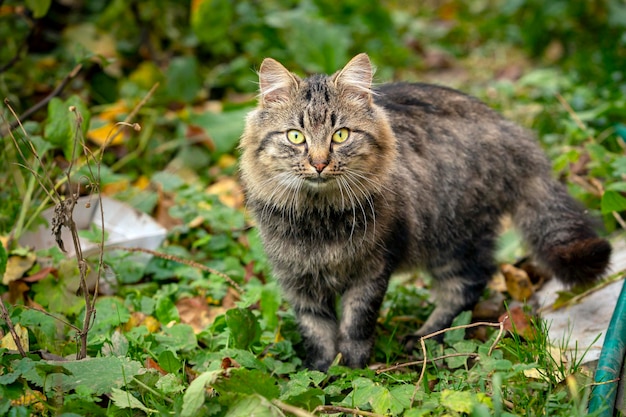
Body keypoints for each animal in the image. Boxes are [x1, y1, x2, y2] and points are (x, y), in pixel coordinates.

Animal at [238, 52, 608, 370]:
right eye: (295, 136)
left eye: (340, 135)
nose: (318, 163)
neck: (319, 219)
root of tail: (509, 129)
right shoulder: (297, 279)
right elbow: (317, 332)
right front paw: (323, 371)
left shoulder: (372, 270)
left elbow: (356, 324)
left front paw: (353, 368)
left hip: (453, 237)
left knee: (469, 284)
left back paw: (425, 338)